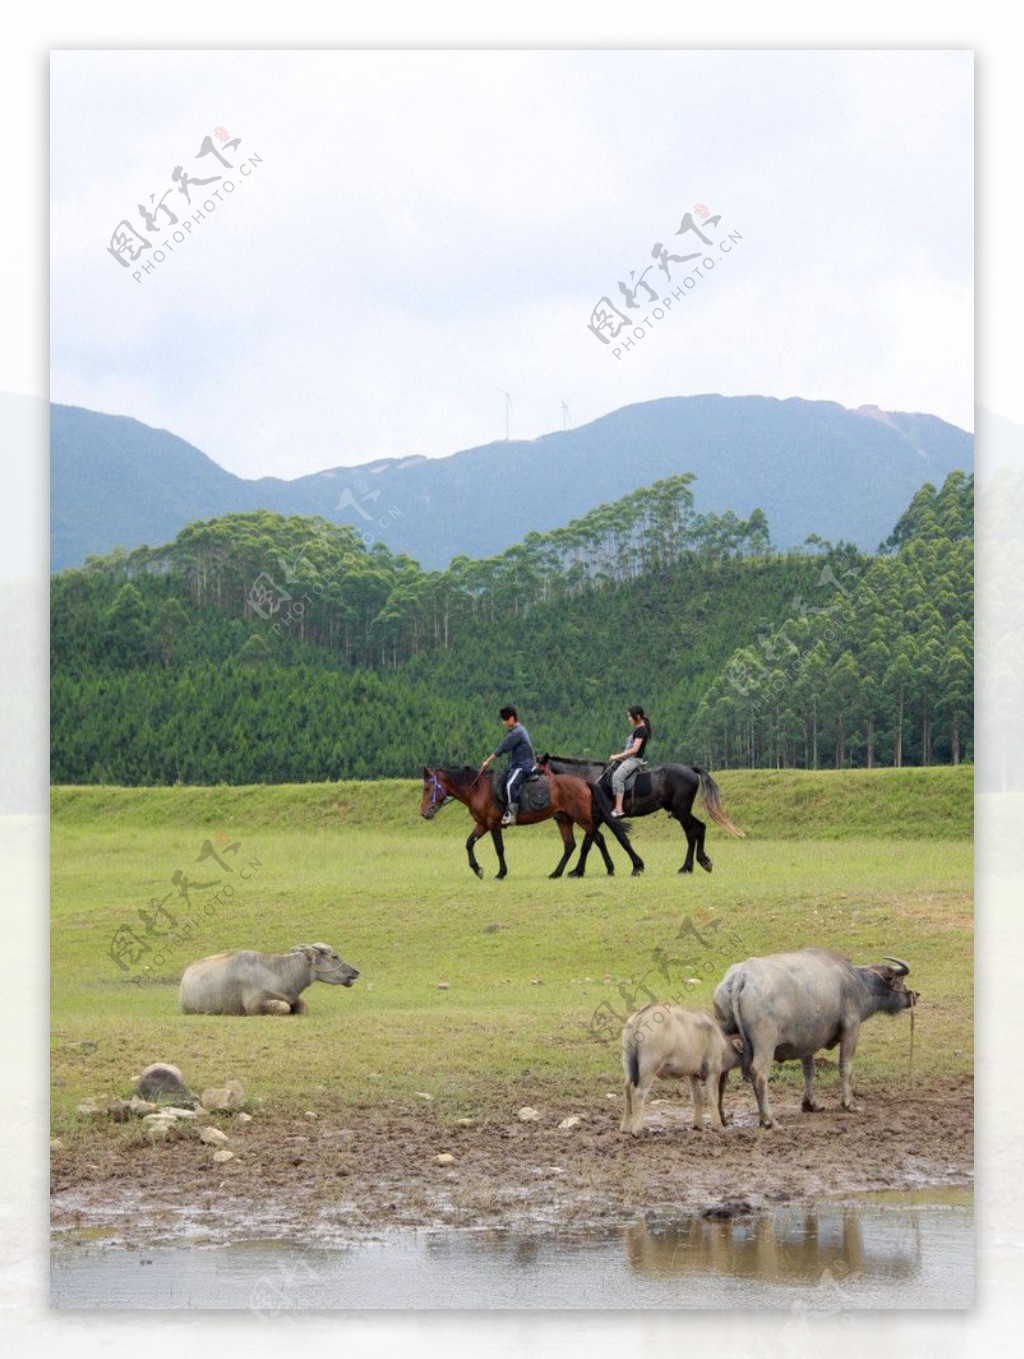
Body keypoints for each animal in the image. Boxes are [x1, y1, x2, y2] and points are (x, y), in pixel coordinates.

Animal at [178, 945, 359, 1021]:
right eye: (335, 956)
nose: (355, 972)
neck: (278, 972)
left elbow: (303, 1008)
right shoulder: (255, 1004)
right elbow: (284, 1008)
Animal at [416, 766, 639, 880]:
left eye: (427, 789)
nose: (424, 813)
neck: (478, 789)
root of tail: (583, 781)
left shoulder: (493, 824)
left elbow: (499, 848)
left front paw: (501, 873)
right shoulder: (482, 824)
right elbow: (469, 843)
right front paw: (477, 869)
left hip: (582, 818)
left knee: (597, 838)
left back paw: (610, 869)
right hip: (565, 819)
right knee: (571, 845)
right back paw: (557, 872)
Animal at [535, 755, 745, 880]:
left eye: (537, 771)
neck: (589, 780)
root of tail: (690, 769)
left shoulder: (600, 817)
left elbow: (614, 840)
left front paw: (636, 866)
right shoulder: (595, 818)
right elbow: (589, 843)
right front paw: (578, 870)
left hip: (681, 811)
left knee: (695, 831)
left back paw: (693, 864)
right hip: (680, 811)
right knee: (696, 830)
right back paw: (692, 865)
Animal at [620, 1000, 739, 1136]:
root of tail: (641, 1014)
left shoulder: (693, 1075)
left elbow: (698, 1097)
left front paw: (698, 1125)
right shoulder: (713, 1072)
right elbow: (713, 1097)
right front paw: (718, 1126)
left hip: (629, 1067)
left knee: (627, 1090)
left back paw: (625, 1127)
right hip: (648, 1069)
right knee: (638, 1093)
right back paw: (637, 1129)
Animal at [712, 945, 919, 1125]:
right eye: (899, 981)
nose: (914, 995)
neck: (856, 983)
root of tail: (741, 976)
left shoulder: (807, 1040)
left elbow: (809, 1070)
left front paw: (811, 1104)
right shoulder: (851, 1027)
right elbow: (845, 1066)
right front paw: (849, 1104)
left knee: (722, 1074)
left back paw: (723, 1118)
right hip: (765, 1044)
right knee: (759, 1073)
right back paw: (768, 1120)